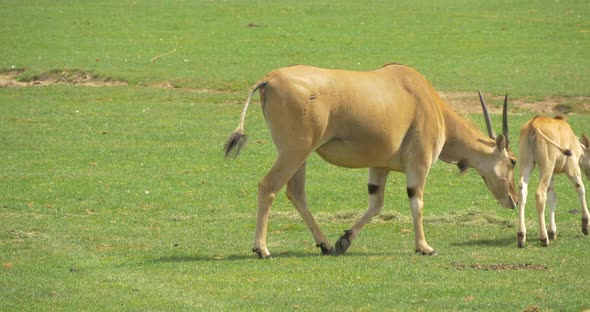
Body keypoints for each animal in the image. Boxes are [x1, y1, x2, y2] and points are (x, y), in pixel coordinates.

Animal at [225, 64, 520, 258]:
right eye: (513, 161)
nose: (514, 200)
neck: (427, 100)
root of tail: (269, 78)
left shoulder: (379, 167)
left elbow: (376, 204)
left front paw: (344, 240)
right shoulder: (419, 163)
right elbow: (417, 202)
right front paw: (424, 247)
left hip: (300, 155)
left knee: (295, 193)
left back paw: (325, 245)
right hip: (294, 151)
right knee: (268, 186)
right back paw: (262, 248)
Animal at [520, 115, 590, 249]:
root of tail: (533, 123)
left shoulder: (552, 175)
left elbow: (552, 196)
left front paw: (552, 232)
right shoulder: (572, 168)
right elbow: (580, 188)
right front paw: (585, 225)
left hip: (527, 163)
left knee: (522, 191)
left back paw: (521, 236)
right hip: (547, 165)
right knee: (540, 193)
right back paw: (543, 238)